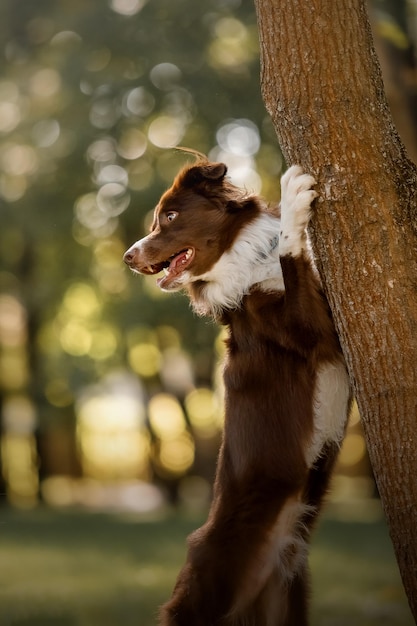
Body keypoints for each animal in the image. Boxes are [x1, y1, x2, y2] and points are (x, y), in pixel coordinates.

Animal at [123, 161, 352, 624]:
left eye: (169, 216)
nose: (127, 257)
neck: (247, 263)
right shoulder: (314, 333)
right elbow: (290, 256)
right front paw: (293, 201)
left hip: (288, 602)